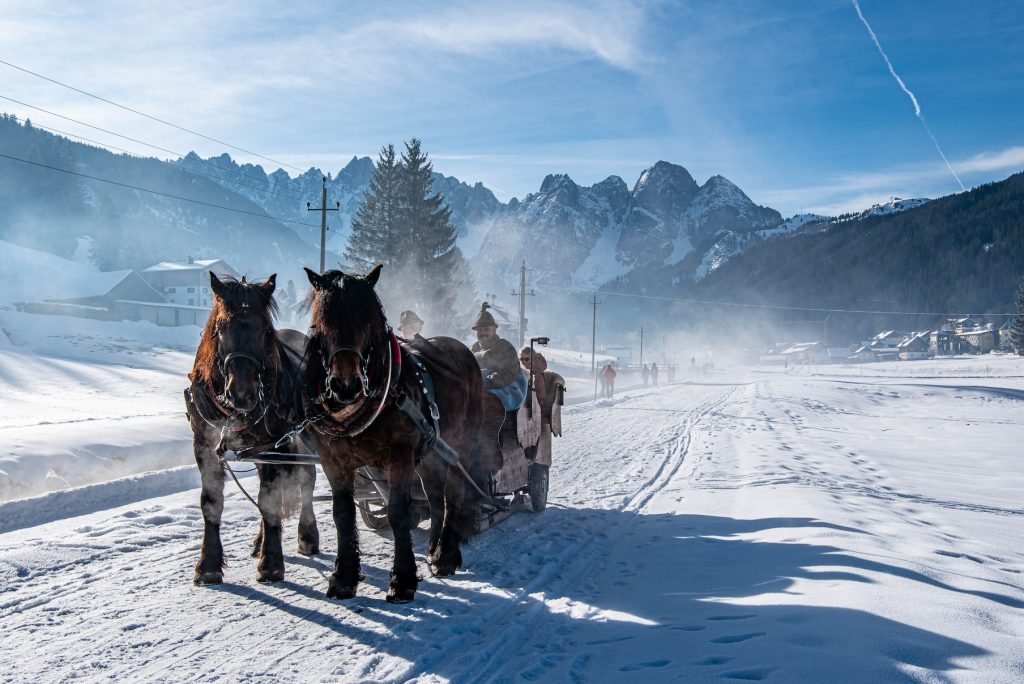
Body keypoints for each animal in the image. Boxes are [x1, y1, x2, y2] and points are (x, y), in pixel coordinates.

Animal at [186, 272, 317, 581]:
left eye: (264, 329)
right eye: (221, 327)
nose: (241, 393)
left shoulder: (271, 445)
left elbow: (269, 500)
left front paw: (271, 563)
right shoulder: (205, 445)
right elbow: (211, 502)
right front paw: (209, 565)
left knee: (307, 477)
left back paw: (307, 536)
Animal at [299, 264, 483, 602]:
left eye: (368, 321)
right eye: (321, 322)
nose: (346, 385)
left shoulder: (400, 456)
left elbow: (399, 512)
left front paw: (403, 580)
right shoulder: (334, 461)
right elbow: (342, 514)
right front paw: (343, 578)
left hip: (460, 444)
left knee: (454, 494)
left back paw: (446, 555)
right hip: (429, 453)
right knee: (435, 496)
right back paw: (434, 549)